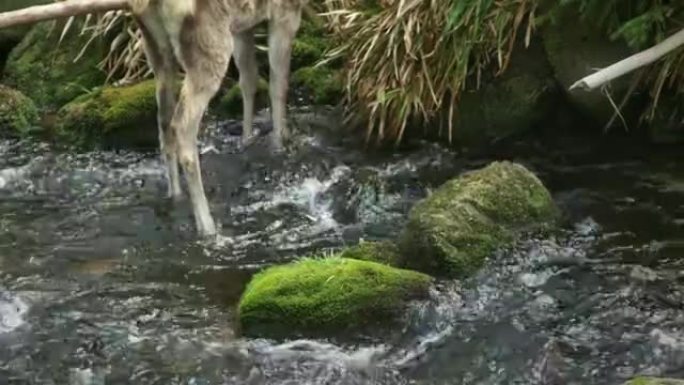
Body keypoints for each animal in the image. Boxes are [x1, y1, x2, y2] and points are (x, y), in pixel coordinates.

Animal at [0, 0, 308, 236]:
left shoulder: (244, 22)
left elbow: (249, 78)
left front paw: (248, 139)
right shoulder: (285, 9)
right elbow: (278, 84)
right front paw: (280, 144)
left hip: (155, 44)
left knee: (164, 121)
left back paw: (175, 194)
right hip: (207, 42)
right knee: (183, 125)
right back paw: (208, 227)